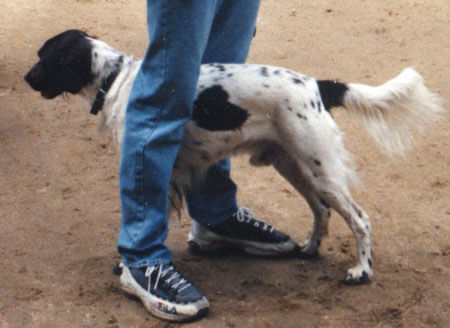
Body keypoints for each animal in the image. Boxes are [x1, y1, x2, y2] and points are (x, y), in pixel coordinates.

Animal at [24, 29, 442, 284]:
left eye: (46, 58)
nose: (27, 78)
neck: (118, 80)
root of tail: (317, 86)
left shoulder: (150, 166)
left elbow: (144, 225)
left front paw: (131, 268)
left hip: (319, 168)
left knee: (360, 219)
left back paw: (361, 271)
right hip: (294, 166)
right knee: (322, 211)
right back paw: (307, 249)